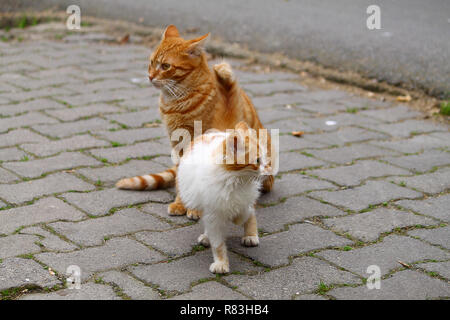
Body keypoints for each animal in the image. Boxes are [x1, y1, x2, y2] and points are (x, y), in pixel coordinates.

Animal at [116, 25, 274, 220]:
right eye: (151, 62)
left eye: (165, 66)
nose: (150, 76)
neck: (177, 102)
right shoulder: (178, 145)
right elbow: (181, 179)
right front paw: (181, 203)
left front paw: (195, 208)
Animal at [178, 121, 272, 274]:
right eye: (257, 160)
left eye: (265, 158)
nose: (269, 171)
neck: (235, 180)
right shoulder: (212, 213)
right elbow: (218, 244)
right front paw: (221, 263)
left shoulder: (245, 196)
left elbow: (245, 212)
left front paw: (238, 219)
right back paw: (207, 236)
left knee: (250, 212)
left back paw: (250, 236)